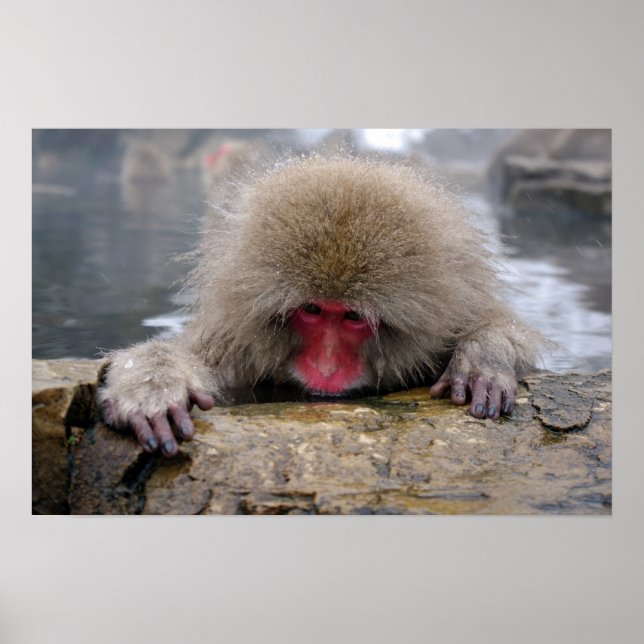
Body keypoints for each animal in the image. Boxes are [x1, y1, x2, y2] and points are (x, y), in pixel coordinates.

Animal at [98, 155, 542, 457]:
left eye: (353, 316)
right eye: (312, 310)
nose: (326, 368)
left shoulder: (444, 322)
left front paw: (485, 358)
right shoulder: (238, 348)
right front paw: (154, 385)